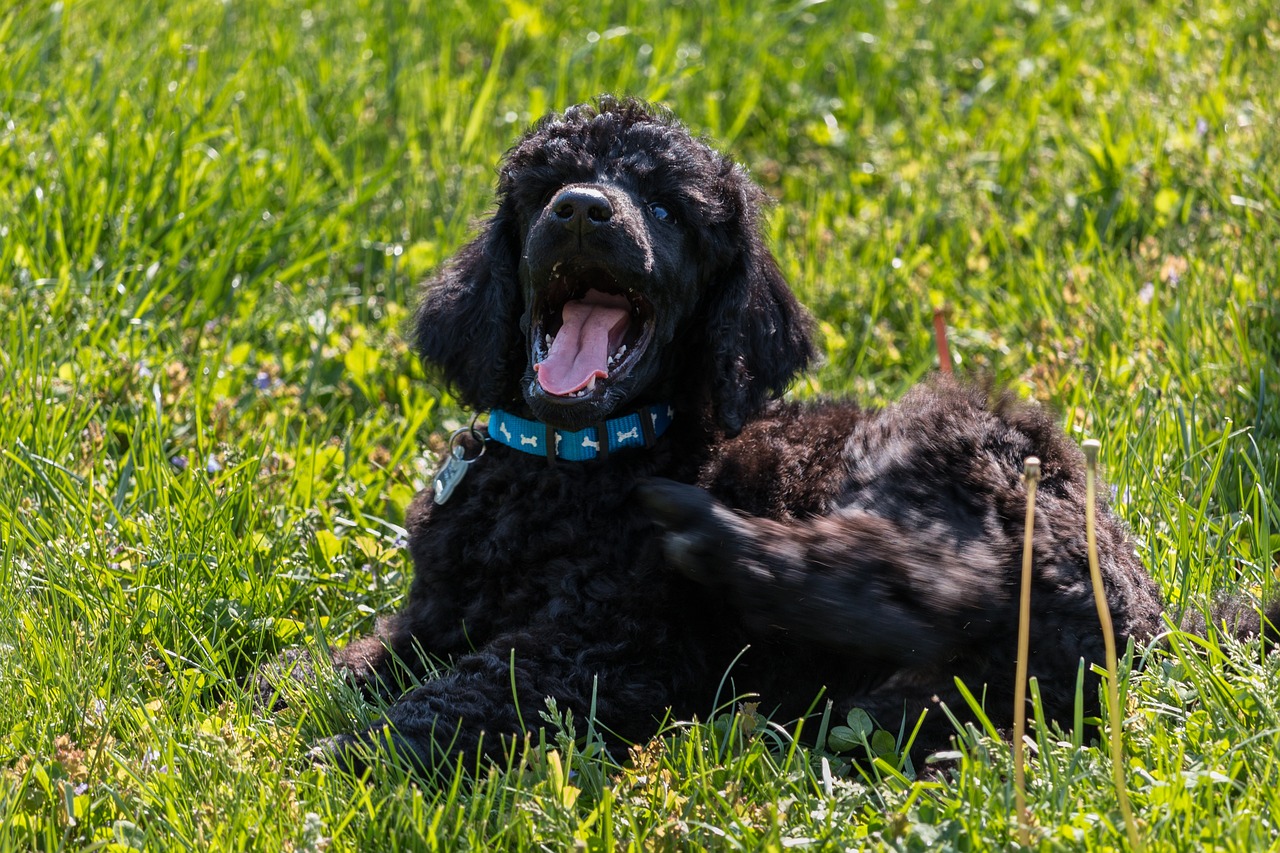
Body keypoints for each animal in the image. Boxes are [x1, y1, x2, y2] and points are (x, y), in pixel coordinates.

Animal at [267, 97, 1269, 768]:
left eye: (665, 209)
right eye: (545, 189)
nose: (584, 209)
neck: (569, 455)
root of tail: (1146, 623)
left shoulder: (613, 646)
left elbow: (480, 684)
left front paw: (354, 748)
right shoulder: (442, 608)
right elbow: (383, 651)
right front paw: (306, 678)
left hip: (931, 454)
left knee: (914, 587)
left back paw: (725, 569)